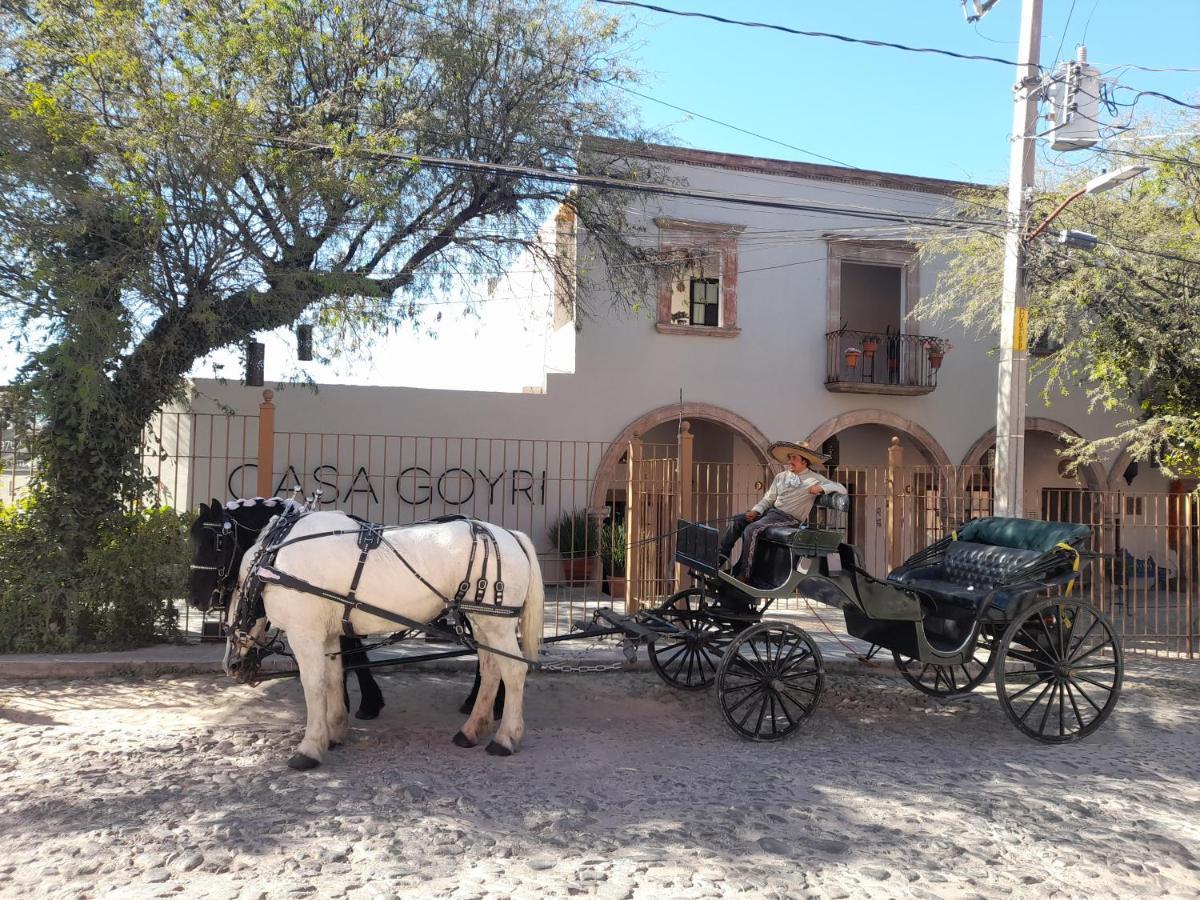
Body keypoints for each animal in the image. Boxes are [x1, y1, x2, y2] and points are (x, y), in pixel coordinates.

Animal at [225, 511, 544, 772]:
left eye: (235, 587)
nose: (232, 664)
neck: (273, 560)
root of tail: (509, 535)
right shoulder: (328, 634)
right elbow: (333, 678)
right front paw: (335, 731)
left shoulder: (306, 632)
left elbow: (313, 685)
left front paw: (310, 748)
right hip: (480, 621)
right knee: (491, 670)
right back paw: (471, 730)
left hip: (497, 624)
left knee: (513, 672)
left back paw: (506, 738)